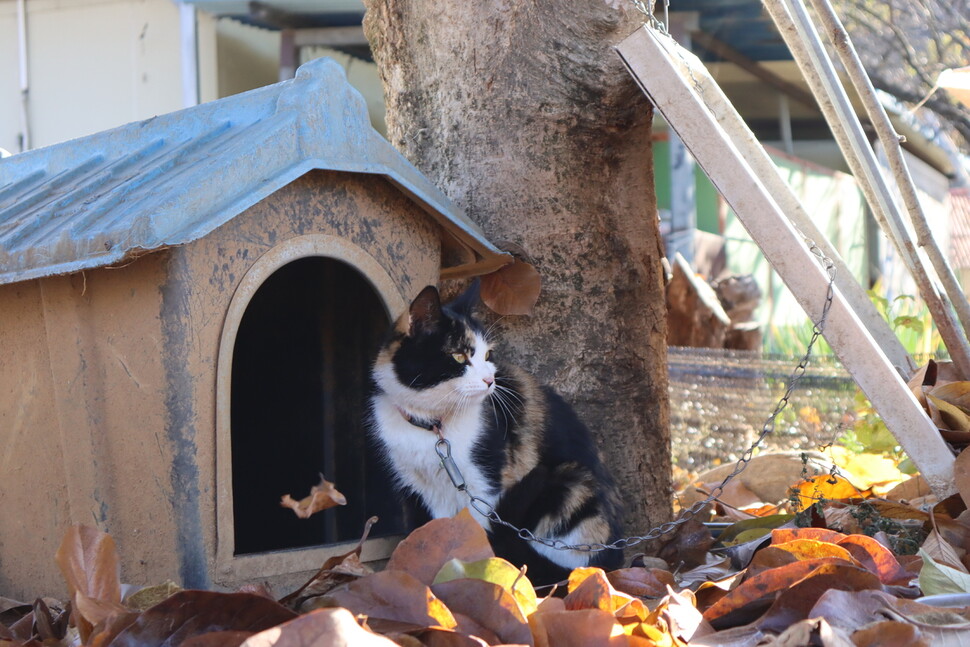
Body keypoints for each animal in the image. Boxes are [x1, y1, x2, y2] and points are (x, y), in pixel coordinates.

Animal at [366, 280, 624, 584]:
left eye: (487, 355)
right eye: (459, 355)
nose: (490, 380)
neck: (433, 426)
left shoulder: (485, 484)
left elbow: (478, 533)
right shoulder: (414, 488)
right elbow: (425, 533)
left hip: (574, 485)